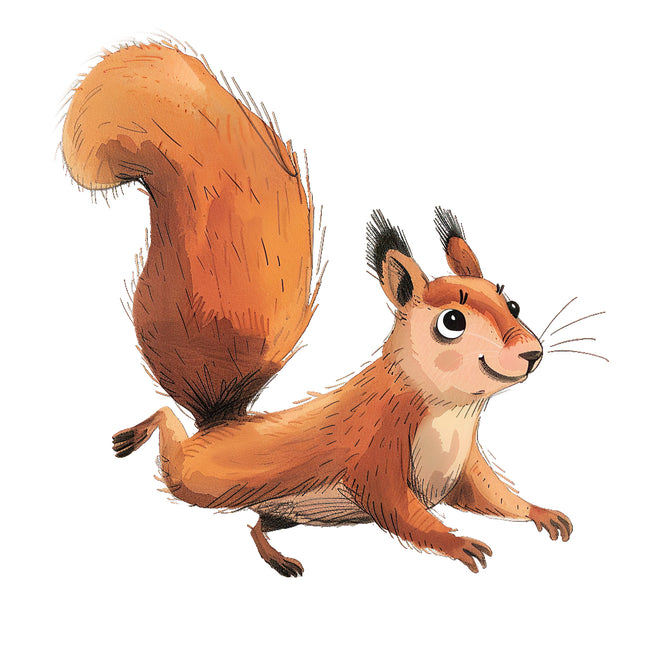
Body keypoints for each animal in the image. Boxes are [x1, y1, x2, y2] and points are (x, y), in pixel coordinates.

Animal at [62, 41, 572, 577]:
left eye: (512, 302)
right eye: (451, 322)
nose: (531, 353)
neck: (452, 412)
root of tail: (221, 424)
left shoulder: (465, 470)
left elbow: (494, 496)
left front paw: (542, 512)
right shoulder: (377, 454)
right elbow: (403, 513)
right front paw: (458, 543)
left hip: (287, 510)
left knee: (257, 523)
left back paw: (277, 558)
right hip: (199, 480)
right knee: (169, 434)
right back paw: (134, 435)